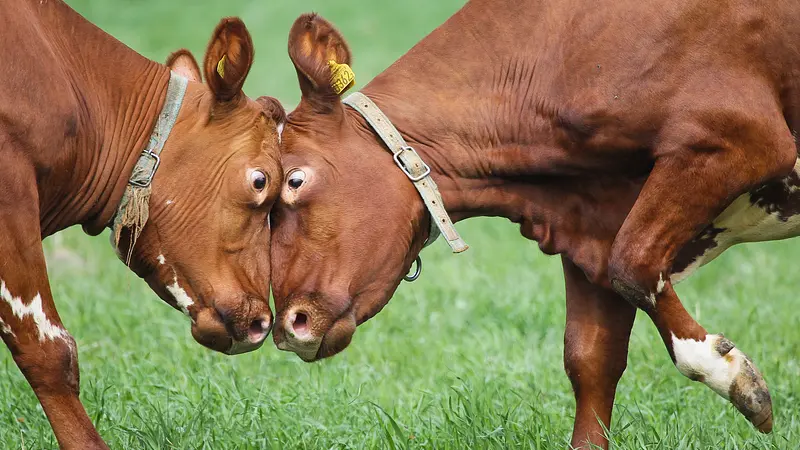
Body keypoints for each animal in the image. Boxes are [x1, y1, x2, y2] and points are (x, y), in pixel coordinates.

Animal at [268, 1, 800, 448]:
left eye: (294, 179)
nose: (288, 325)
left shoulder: (736, 136)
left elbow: (633, 264)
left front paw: (736, 378)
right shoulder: (590, 223)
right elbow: (590, 358)